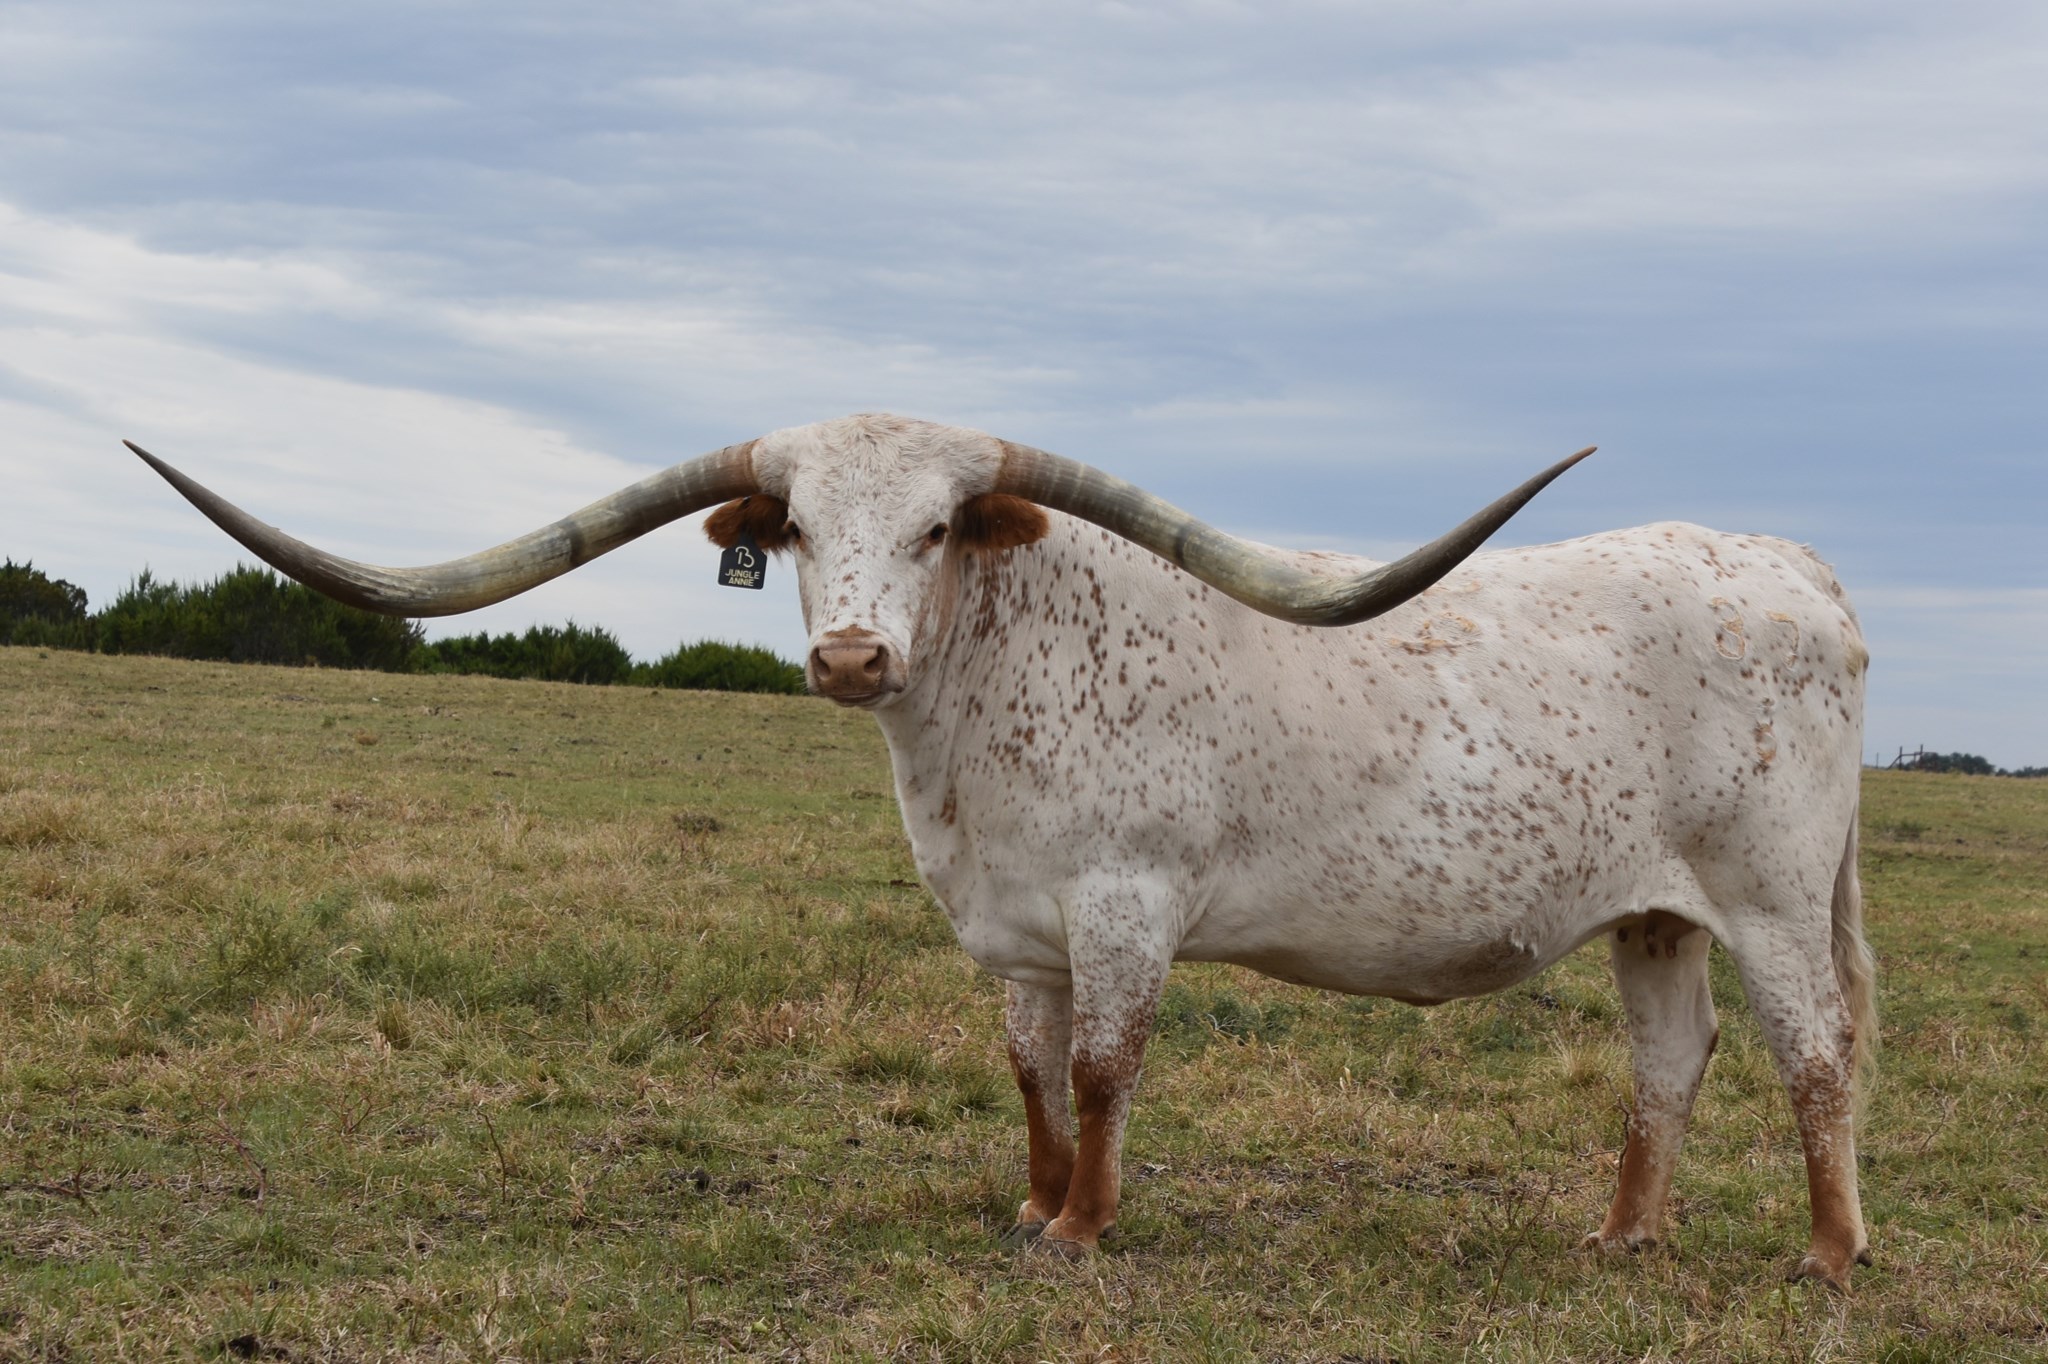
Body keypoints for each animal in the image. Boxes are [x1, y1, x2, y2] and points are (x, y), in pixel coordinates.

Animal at [129, 412, 1875, 1287]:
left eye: (934, 531)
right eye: (797, 531)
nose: (847, 657)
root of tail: (1790, 565)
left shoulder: (1124, 908)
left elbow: (1104, 1070)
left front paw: (1089, 1234)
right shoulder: (1017, 931)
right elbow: (1032, 1074)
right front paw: (1034, 1212)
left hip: (1776, 896)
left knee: (1817, 1055)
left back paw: (1830, 1254)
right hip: (1659, 913)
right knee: (1670, 1059)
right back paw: (1625, 1237)